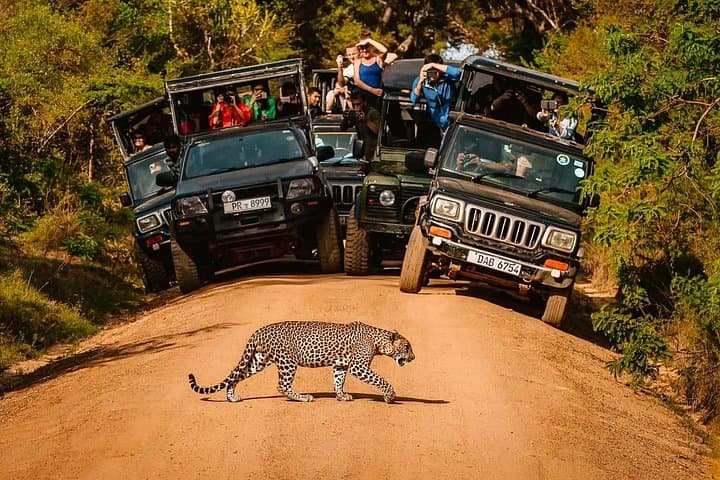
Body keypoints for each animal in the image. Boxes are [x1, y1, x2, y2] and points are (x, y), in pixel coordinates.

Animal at [188, 321, 415, 403]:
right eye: (407, 347)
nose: (413, 358)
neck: (378, 341)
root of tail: (258, 330)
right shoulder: (359, 367)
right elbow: (380, 380)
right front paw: (389, 396)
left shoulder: (341, 365)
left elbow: (338, 381)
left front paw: (341, 396)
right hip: (288, 362)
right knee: (282, 385)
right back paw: (303, 397)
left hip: (259, 360)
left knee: (237, 376)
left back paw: (232, 397)